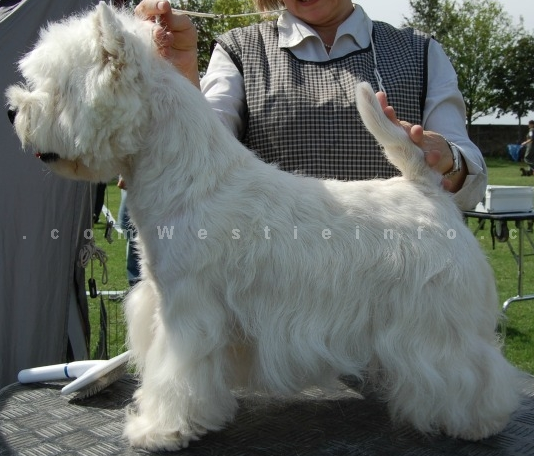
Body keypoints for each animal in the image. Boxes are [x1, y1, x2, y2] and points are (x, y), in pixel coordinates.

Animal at [6, 2, 520, 452]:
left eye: (56, 87)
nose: (13, 111)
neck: (187, 179)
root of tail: (428, 189)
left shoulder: (187, 312)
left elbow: (176, 376)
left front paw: (160, 429)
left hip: (437, 319)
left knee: (472, 370)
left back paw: (478, 421)